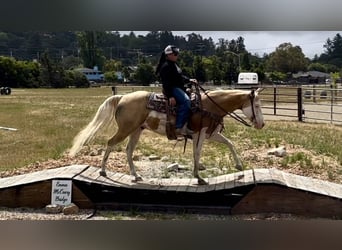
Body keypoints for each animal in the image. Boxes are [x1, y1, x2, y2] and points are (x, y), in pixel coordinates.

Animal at [69, 87, 266, 185]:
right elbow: (197, 153)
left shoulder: (212, 134)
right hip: (126, 129)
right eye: (256, 105)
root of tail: (123, 97)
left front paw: (239, 166)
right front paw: (198, 177)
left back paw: (135, 175)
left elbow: (230, 143)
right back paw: (103, 171)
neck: (208, 105)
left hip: (136, 130)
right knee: (111, 143)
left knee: (128, 150)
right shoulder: (200, 134)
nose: (262, 124)